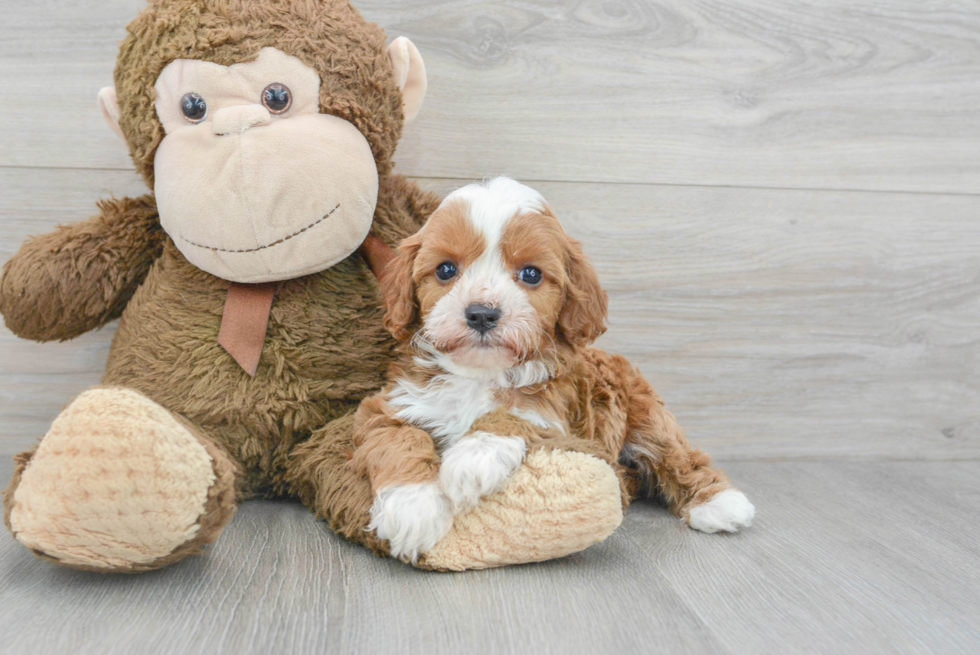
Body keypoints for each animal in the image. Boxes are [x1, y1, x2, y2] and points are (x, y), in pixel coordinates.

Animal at [354, 177, 756, 560]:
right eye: (446, 270)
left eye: (531, 274)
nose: (482, 313)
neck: (480, 374)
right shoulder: (389, 405)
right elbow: (398, 439)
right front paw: (413, 508)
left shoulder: (559, 418)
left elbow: (516, 412)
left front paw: (472, 460)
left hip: (648, 416)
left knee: (679, 457)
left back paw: (719, 503)